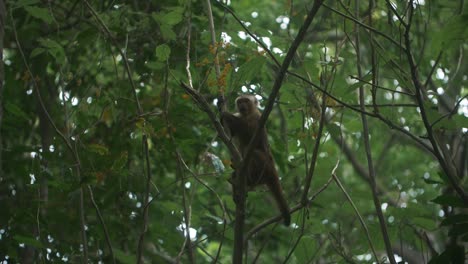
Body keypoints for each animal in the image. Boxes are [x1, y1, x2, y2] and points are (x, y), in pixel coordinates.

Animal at [221, 94, 290, 226]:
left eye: (246, 101)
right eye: (240, 101)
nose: (242, 105)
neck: (247, 113)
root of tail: (273, 169)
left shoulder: (258, 117)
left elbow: (249, 133)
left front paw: (226, 115)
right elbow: (234, 133)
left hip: (265, 167)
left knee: (254, 152)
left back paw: (250, 179)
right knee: (236, 172)